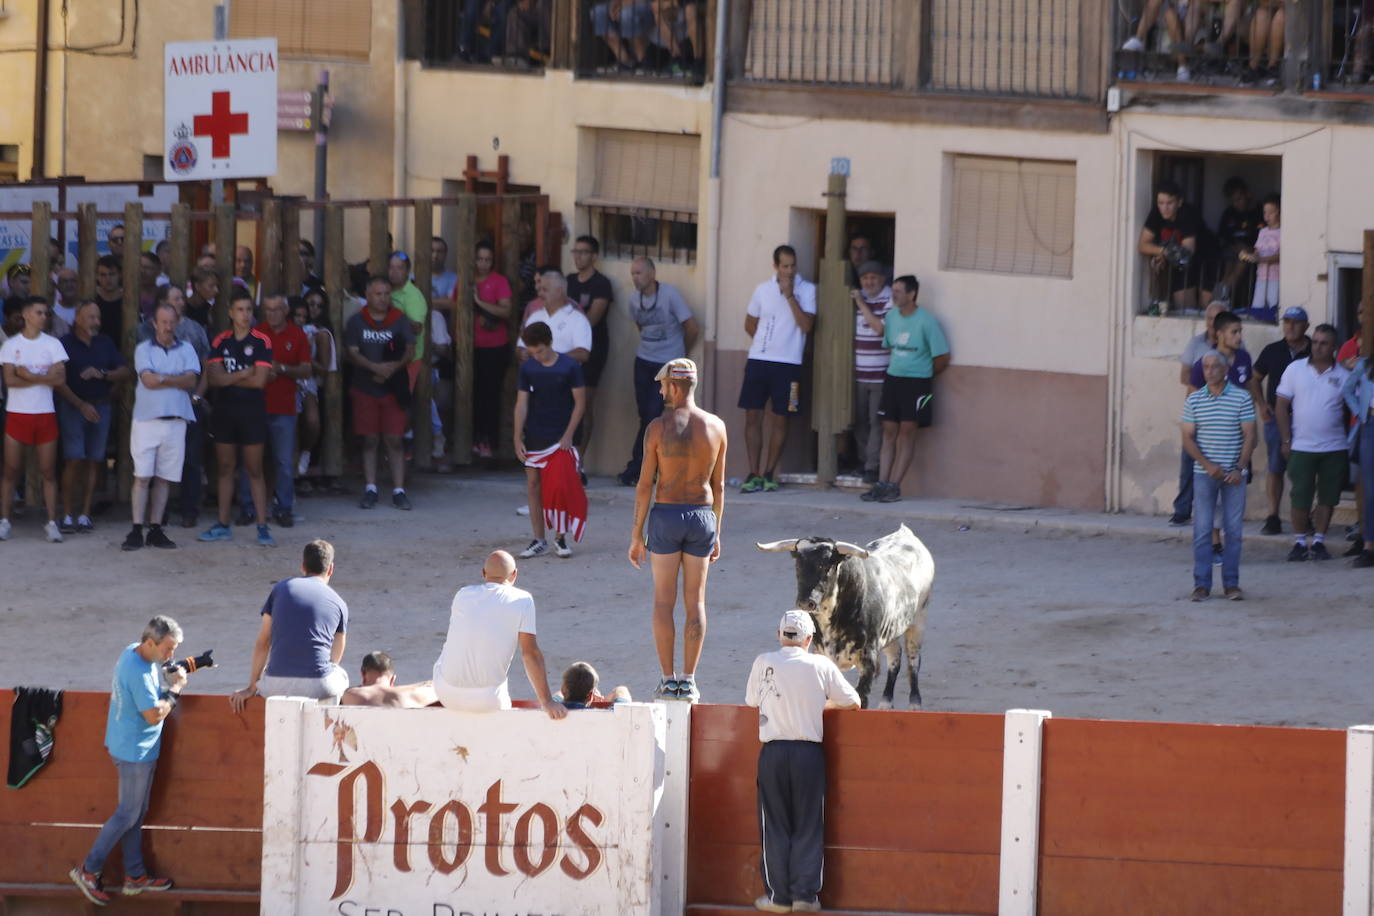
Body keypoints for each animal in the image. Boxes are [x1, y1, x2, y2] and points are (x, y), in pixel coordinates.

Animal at [752, 521, 934, 708]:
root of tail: (906, 534)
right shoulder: (823, 654)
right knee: (895, 657)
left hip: (919, 620)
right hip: (891, 629)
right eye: (798, 565)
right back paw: (885, 702)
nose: (805, 602)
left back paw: (915, 703)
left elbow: (861, 697)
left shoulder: (868, 661)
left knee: (913, 660)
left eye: (826, 566)